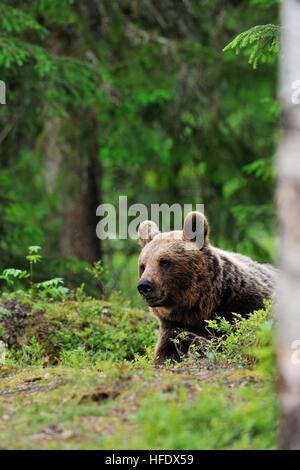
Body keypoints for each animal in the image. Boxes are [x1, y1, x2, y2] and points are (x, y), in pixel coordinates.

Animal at [137, 212, 276, 364]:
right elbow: (167, 353)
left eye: (164, 262)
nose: (144, 286)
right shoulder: (175, 326)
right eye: (143, 266)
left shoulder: (246, 306)